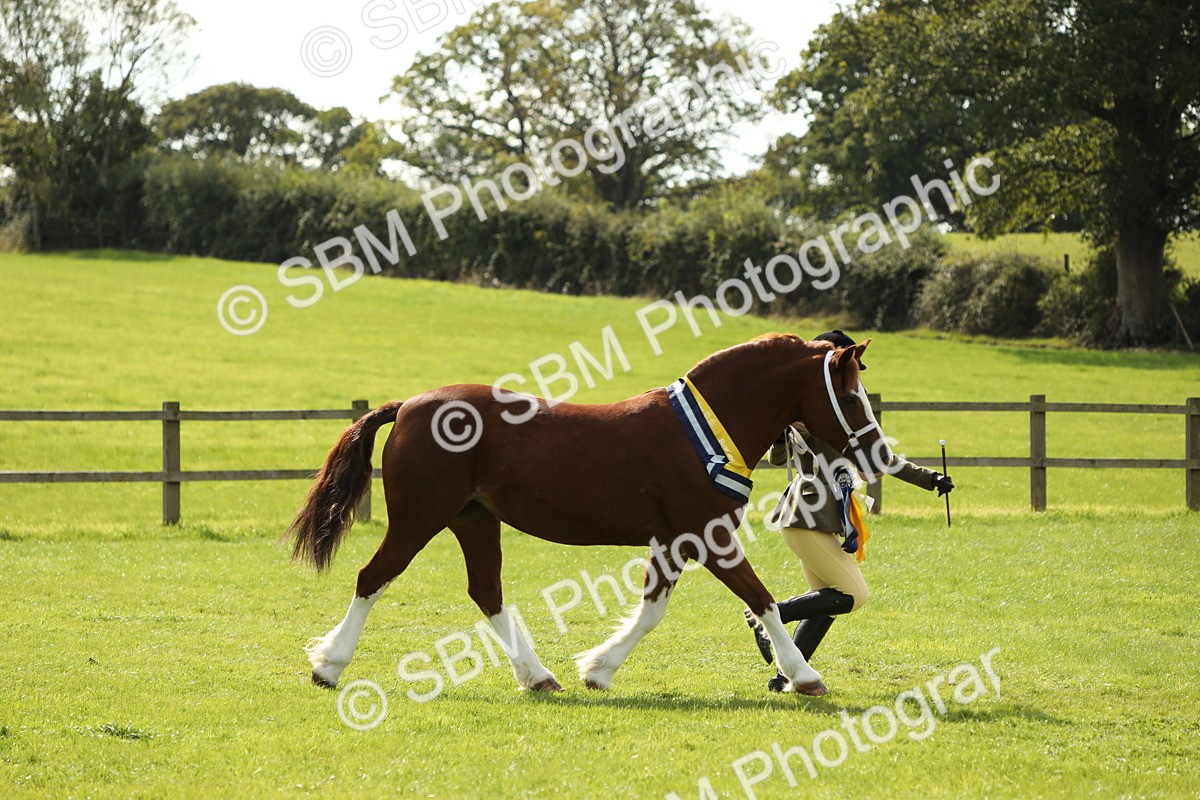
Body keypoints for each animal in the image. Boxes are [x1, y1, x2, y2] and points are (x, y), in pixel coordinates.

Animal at [285, 333, 889, 696]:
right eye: (851, 395)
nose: (879, 454)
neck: (705, 432)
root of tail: (408, 405)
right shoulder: (708, 536)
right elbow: (760, 599)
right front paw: (804, 676)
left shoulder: (673, 541)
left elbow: (652, 609)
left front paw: (597, 669)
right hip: (419, 518)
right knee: (374, 577)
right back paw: (328, 665)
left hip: (474, 520)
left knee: (487, 592)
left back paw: (538, 676)